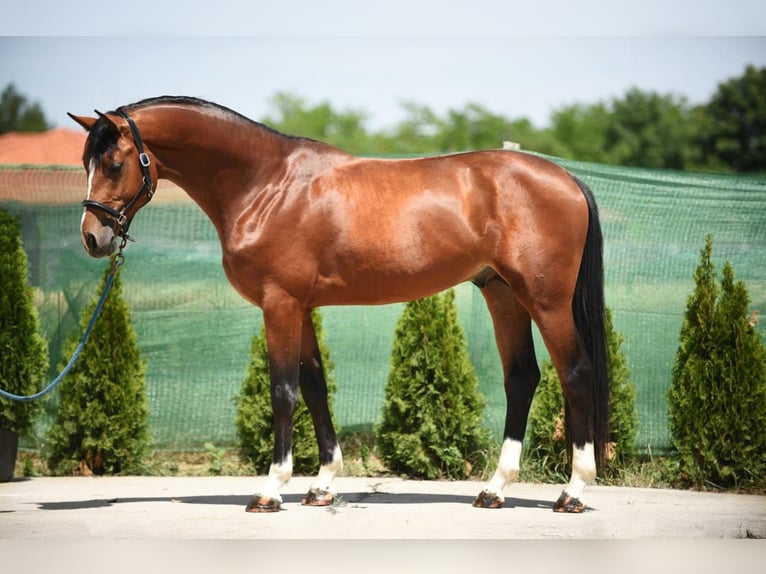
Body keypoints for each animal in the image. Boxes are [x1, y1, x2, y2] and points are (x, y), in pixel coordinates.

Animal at [70, 97, 612, 516]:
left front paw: (271, 490)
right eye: (86, 163)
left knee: (576, 374)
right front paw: (322, 485)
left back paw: (573, 492)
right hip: (501, 293)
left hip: (545, 301)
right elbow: (314, 385)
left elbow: (283, 391)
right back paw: (494, 490)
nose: (93, 239)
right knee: (522, 378)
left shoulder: (280, 304)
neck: (266, 184)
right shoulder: (301, 306)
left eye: (114, 163)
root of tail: (568, 179)